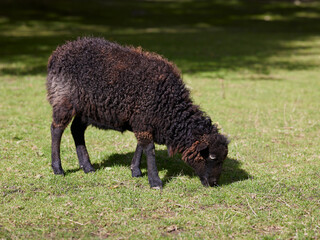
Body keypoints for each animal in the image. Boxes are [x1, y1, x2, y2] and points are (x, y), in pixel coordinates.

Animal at [46, 37, 229, 188]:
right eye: (211, 157)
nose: (214, 183)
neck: (168, 106)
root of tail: (59, 52)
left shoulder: (142, 120)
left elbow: (141, 145)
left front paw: (135, 170)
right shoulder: (144, 117)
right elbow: (149, 149)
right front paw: (155, 182)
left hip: (86, 108)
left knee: (76, 130)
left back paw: (88, 167)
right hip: (63, 100)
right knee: (56, 129)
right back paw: (58, 168)